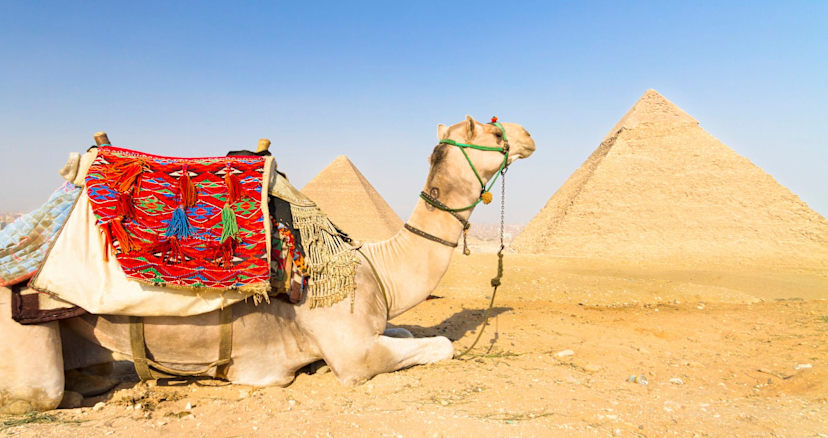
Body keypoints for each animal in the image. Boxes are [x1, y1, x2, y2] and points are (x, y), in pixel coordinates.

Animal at [0, 116, 535, 413]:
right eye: (493, 128)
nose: (528, 135)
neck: (373, 267)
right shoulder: (354, 355)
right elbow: (442, 345)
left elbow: (410, 331)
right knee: (43, 394)